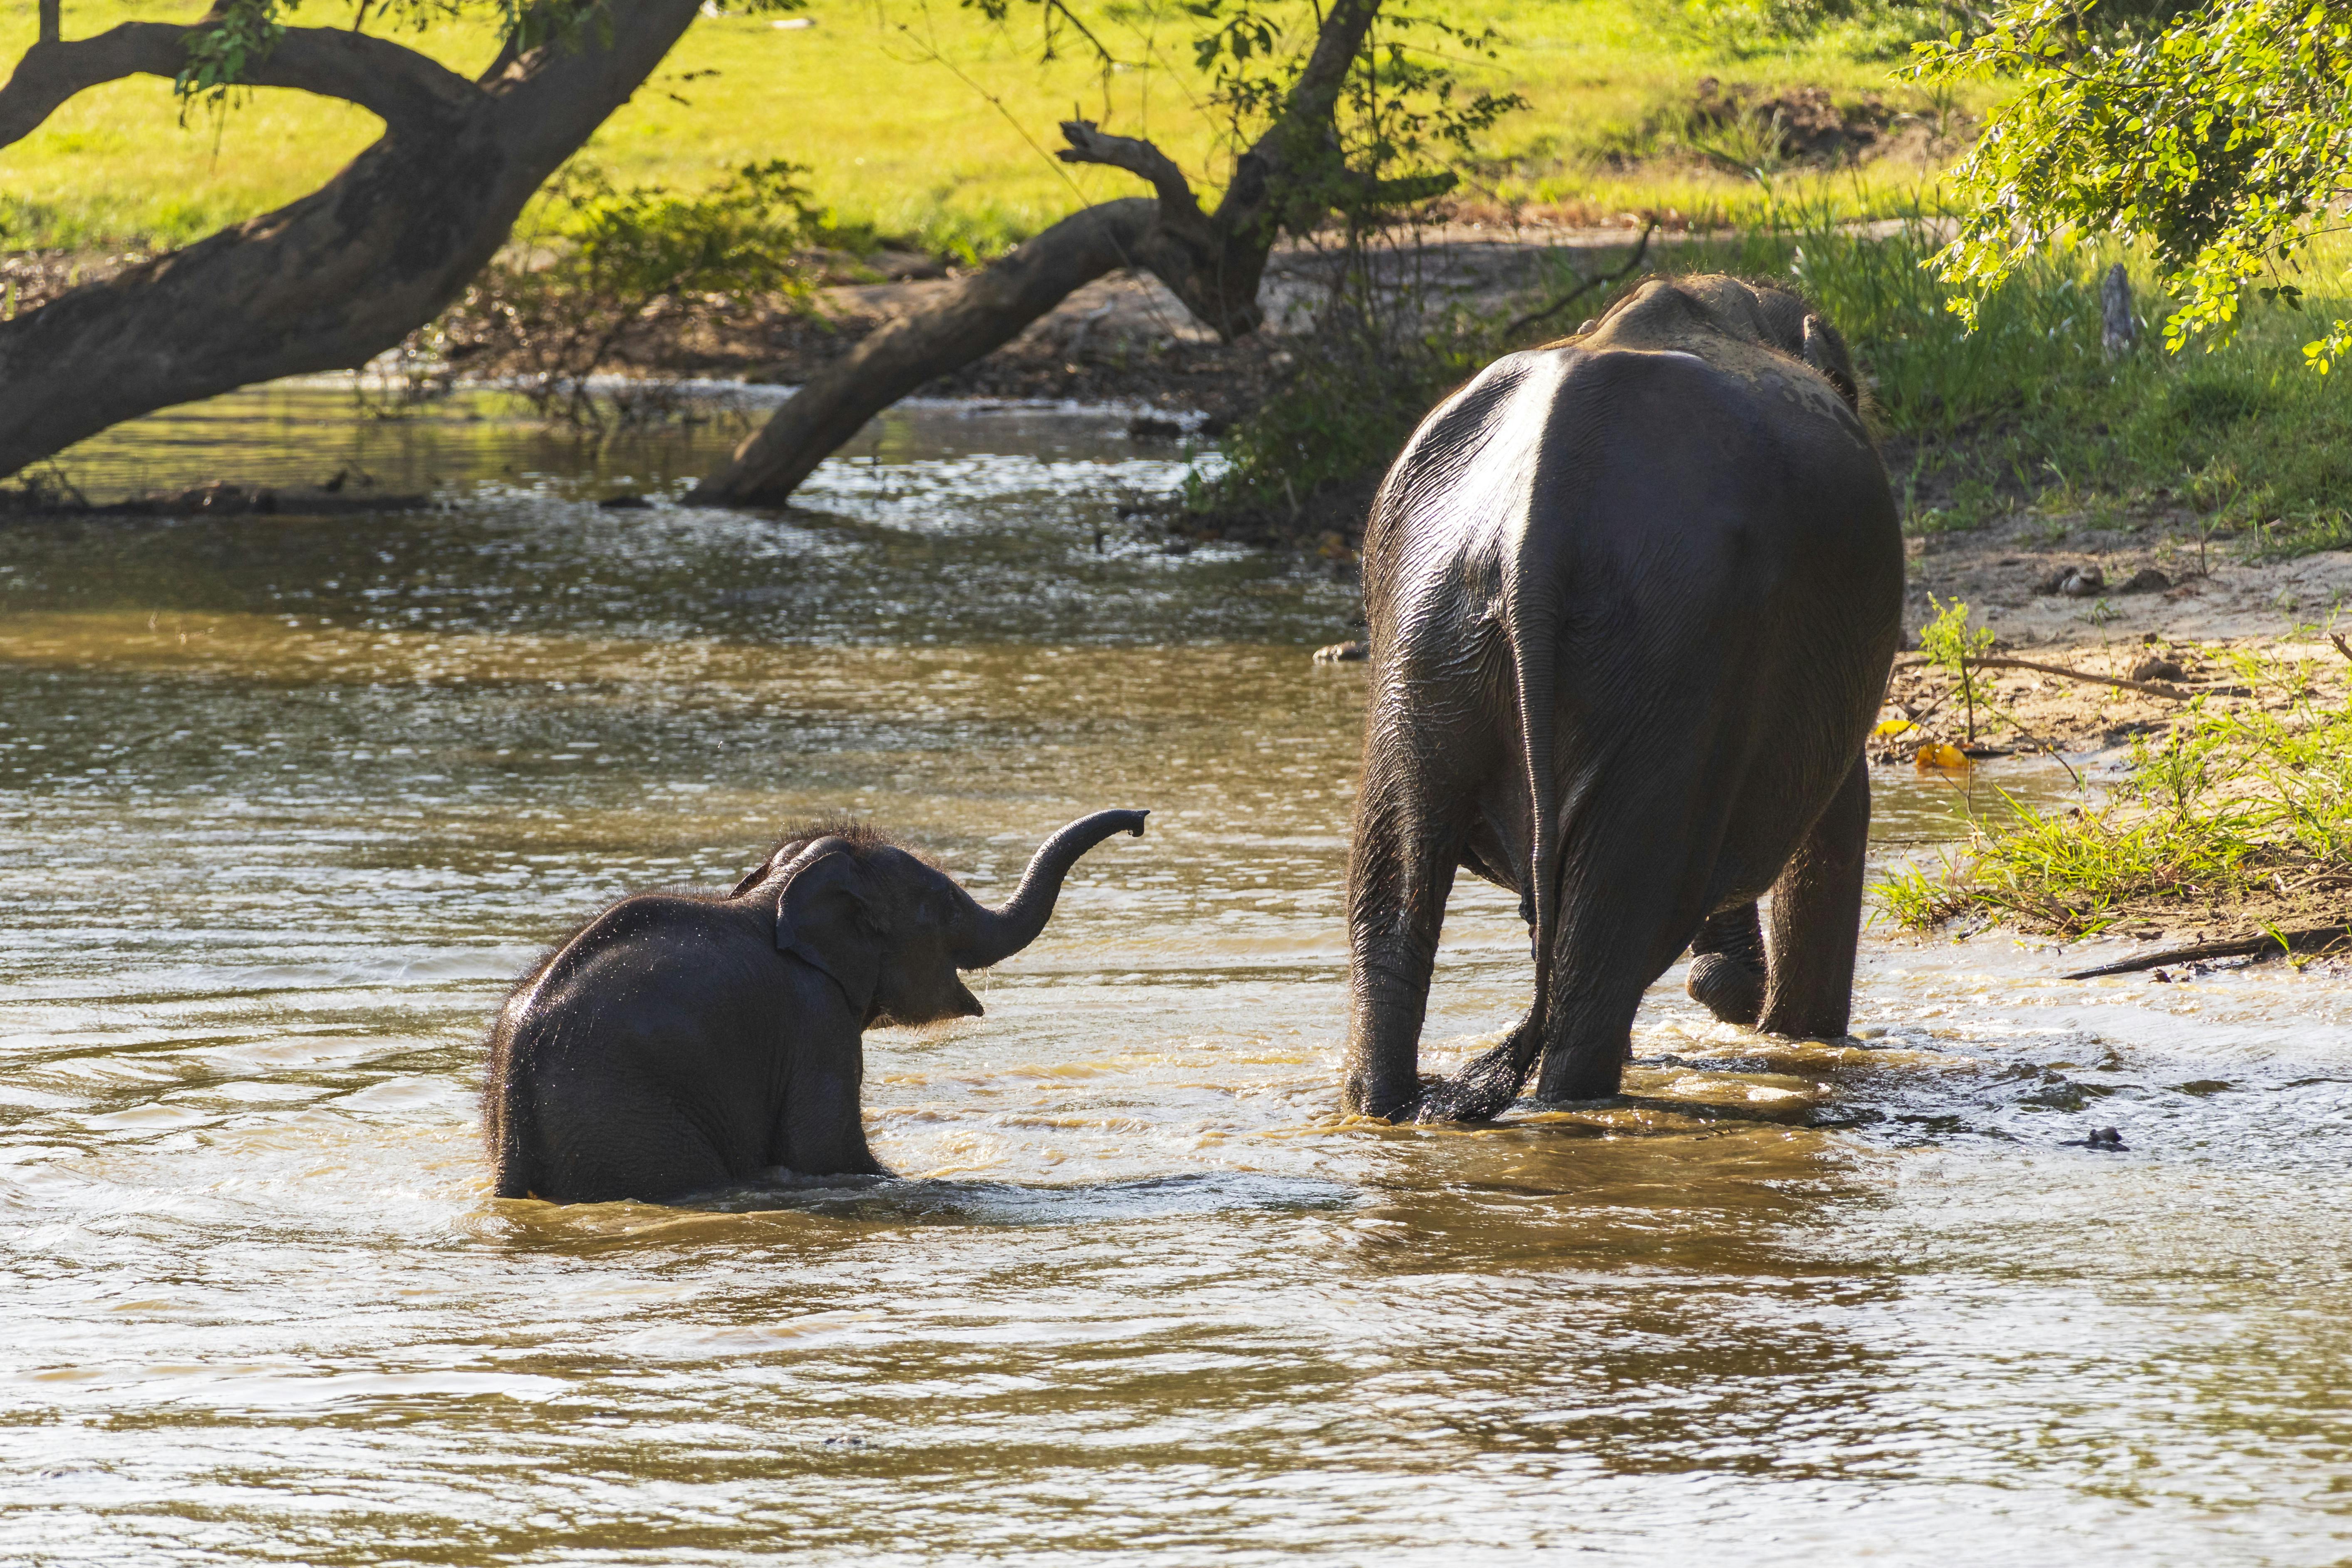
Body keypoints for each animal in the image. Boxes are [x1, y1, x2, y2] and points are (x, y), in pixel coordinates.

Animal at [482, 808, 1143, 1204]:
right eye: (945, 906)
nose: (1139, 821)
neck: (779, 892)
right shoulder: (814, 1019)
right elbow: (824, 1152)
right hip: (631, 1122)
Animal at [1336, 276, 1900, 1124]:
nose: (1724, 988)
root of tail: (1535, 525)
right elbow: (1836, 811)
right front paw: (1799, 1042)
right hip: (1672, 647)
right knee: (1622, 917)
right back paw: (1569, 1104)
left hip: (1427, 629)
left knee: (1396, 894)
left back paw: (1385, 1108)